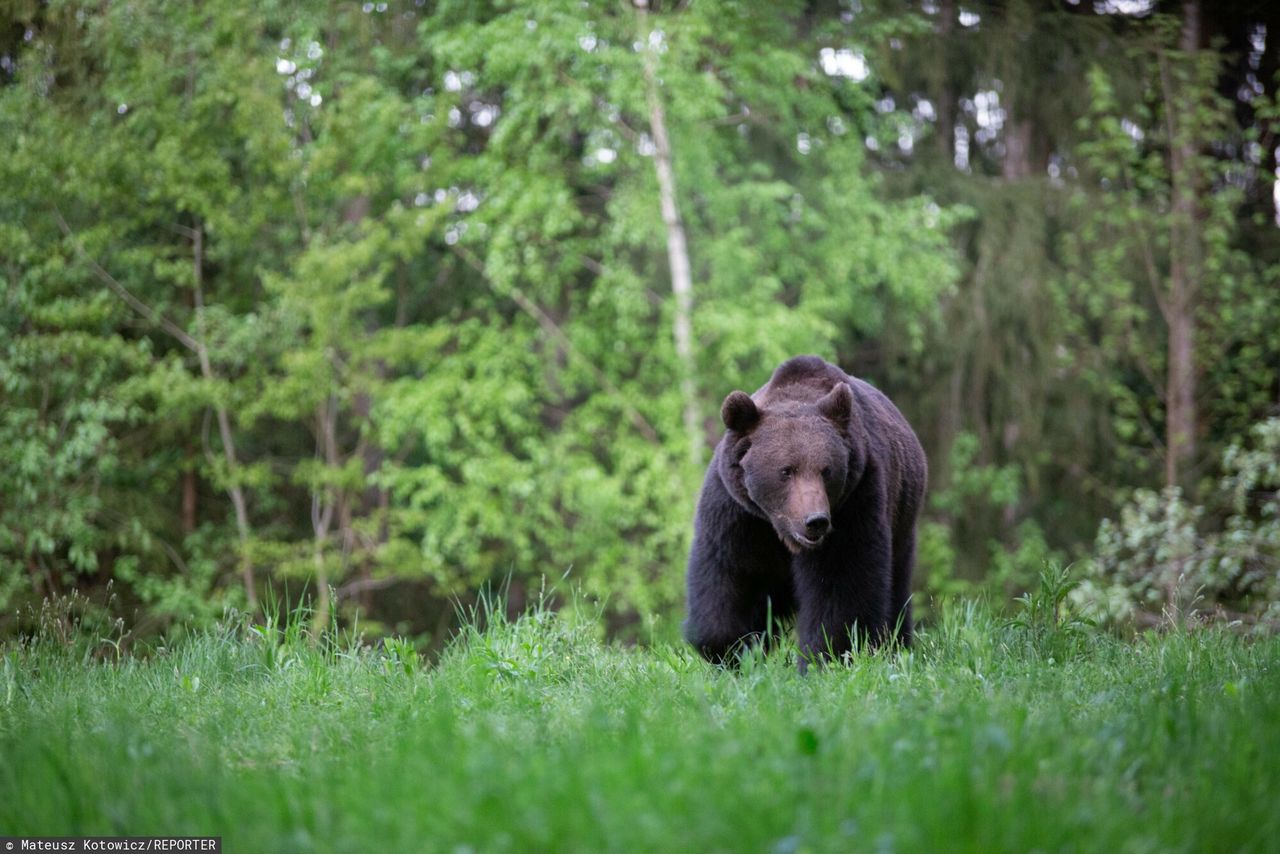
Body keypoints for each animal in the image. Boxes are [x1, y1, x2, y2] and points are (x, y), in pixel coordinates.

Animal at [686, 353, 926, 665]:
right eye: (786, 470)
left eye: (826, 470)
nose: (816, 521)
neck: (780, 528)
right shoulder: (739, 513)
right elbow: (730, 574)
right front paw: (727, 648)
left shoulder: (856, 502)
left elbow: (841, 582)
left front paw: (826, 653)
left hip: (901, 518)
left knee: (896, 585)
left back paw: (896, 645)